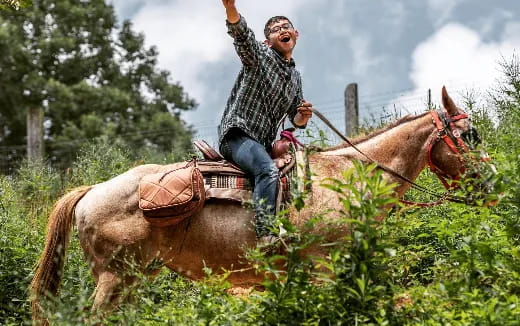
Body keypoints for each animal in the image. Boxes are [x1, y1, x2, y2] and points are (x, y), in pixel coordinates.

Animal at [31, 87, 488, 324]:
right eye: (469, 135)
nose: (492, 180)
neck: (347, 178)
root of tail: (90, 191)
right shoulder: (323, 268)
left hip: (133, 280)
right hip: (114, 278)